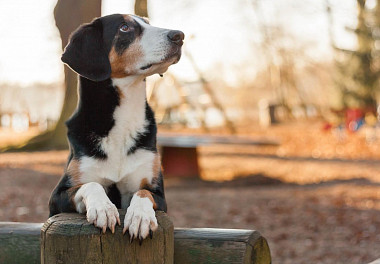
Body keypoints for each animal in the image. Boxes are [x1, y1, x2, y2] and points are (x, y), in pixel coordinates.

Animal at [48, 13, 185, 242]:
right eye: (124, 27)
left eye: (147, 22)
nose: (179, 35)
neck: (122, 121)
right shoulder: (57, 197)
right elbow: (91, 184)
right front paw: (103, 209)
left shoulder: (158, 194)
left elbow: (142, 193)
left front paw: (140, 217)